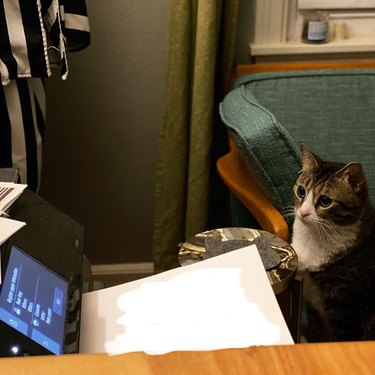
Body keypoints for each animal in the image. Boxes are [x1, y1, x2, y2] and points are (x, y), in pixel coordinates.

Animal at [292, 144, 374, 344]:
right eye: (301, 191)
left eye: (325, 201)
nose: (303, 212)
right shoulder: (313, 303)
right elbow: (315, 328)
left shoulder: (345, 307)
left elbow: (342, 337)